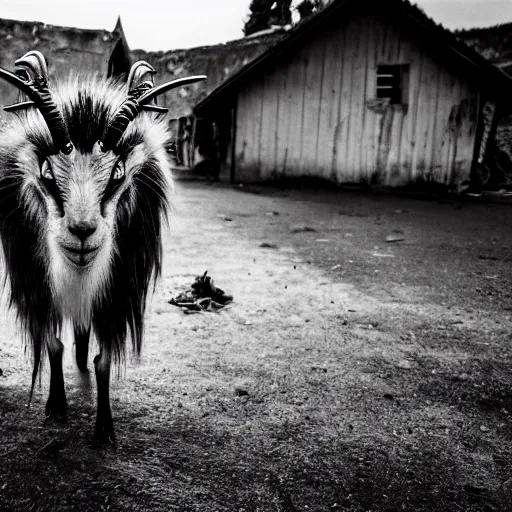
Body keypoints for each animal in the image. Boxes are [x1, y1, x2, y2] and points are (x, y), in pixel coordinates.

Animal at [0, 53, 205, 444]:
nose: (82, 232)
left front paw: (104, 430)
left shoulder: (119, 290)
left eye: (117, 173)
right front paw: (56, 407)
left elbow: (104, 361)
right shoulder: (37, 287)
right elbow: (53, 345)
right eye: (47, 173)